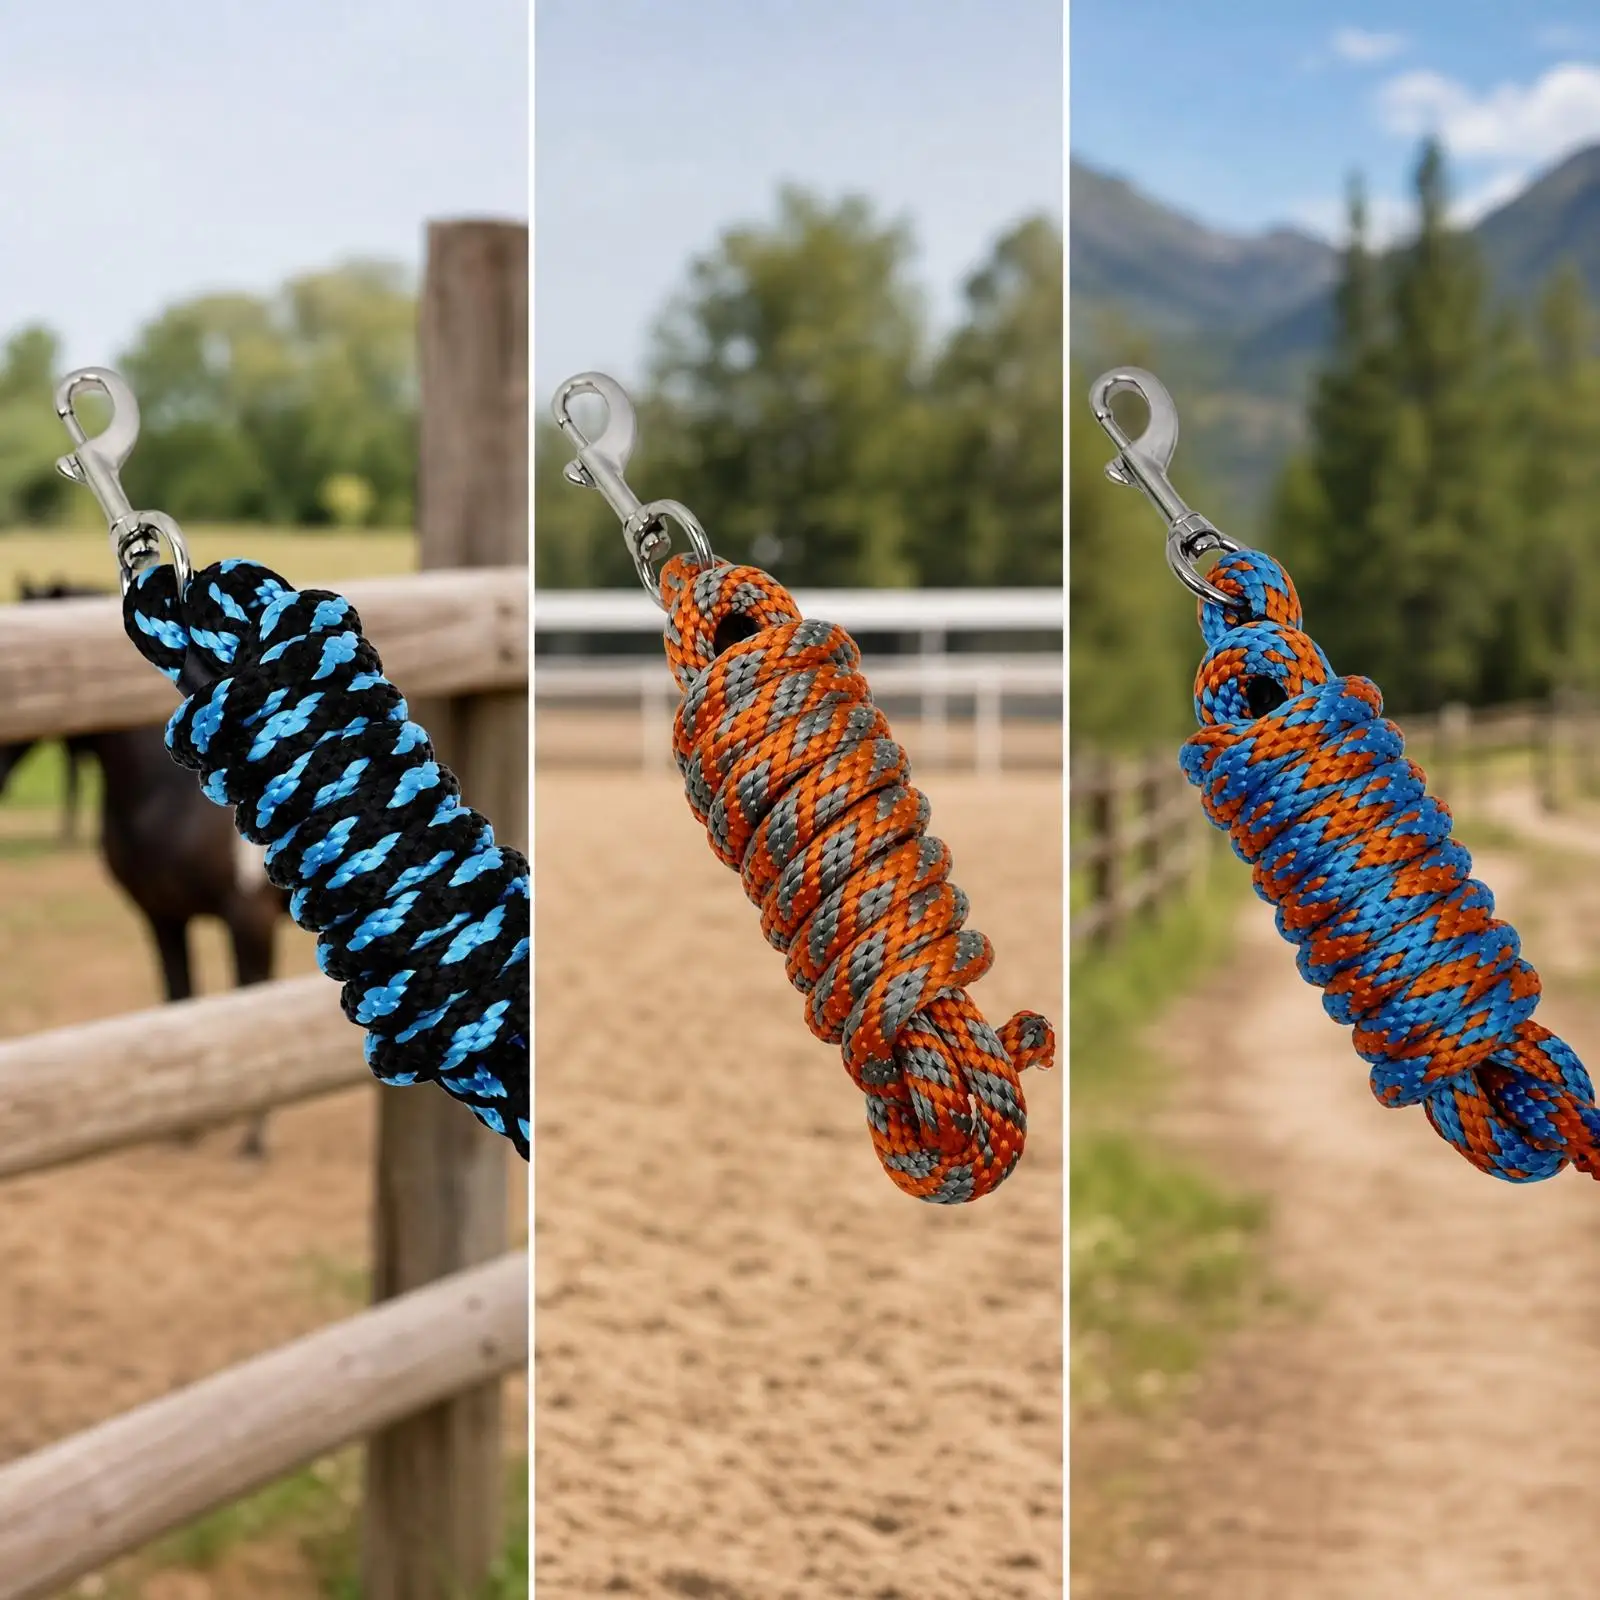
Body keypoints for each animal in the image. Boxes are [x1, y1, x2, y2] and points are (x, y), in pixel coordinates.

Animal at [0, 579, 288, 1158]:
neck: (167, 794)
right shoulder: (161, 915)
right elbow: (182, 1000)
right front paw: (184, 1128)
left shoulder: (249, 918)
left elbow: (255, 1002)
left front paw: (254, 1136)